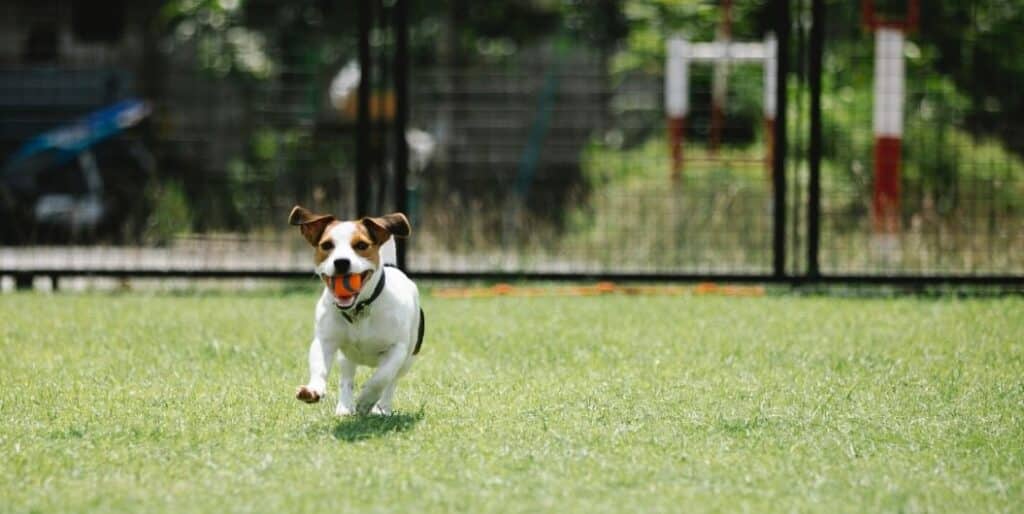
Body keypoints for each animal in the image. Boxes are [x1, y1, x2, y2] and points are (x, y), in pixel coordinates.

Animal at [288, 205, 423, 417]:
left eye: (361, 245)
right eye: (327, 245)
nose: (341, 262)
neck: (359, 309)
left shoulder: (397, 349)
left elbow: (382, 377)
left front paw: (366, 400)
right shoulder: (325, 341)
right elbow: (320, 367)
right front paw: (313, 389)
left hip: (408, 358)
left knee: (392, 382)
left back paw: (382, 407)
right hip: (347, 356)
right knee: (347, 377)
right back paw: (345, 406)